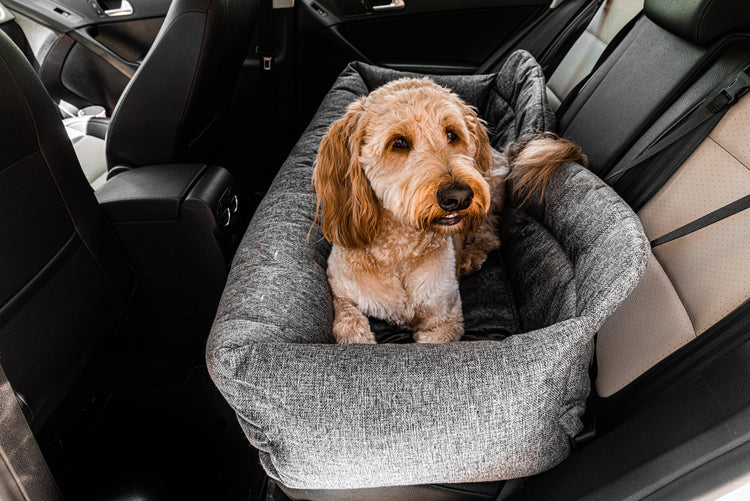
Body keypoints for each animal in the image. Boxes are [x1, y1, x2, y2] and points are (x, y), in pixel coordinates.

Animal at [312, 77, 588, 344]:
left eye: (452, 134)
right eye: (398, 142)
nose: (459, 196)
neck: (400, 253)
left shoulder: (445, 319)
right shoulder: (340, 292)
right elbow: (350, 328)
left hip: (490, 195)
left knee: (490, 233)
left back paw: (470, 256)